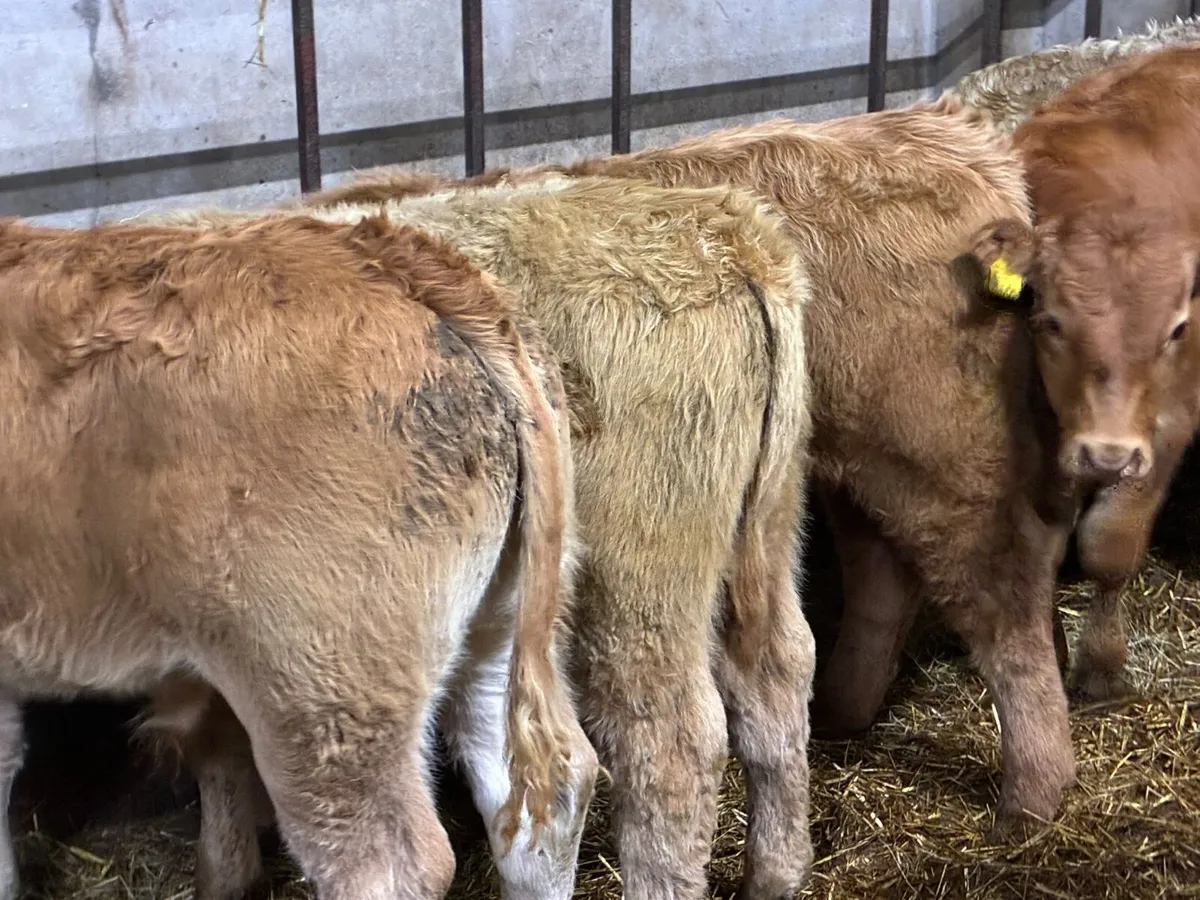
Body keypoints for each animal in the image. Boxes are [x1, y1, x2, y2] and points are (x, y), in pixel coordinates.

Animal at [163, 174, 817, 900]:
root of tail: (723, 230)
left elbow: (213, 744)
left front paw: (221, 871)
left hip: (638, 579)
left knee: (670, 742)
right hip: (769, 527)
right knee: (779, 670)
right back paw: (776, 871)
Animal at [305, 94, 1087, 831]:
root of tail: (953, 135)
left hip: (949, 458)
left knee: (1004, 592)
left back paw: (1032, 798)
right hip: (850, 469)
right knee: (879, 574)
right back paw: (842, 714)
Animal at [968, 45, 1200, 702]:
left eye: (1176, 330)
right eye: (1049, 321)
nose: (1106, 455)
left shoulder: (1170, 421)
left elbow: (1109, 542)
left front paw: (1101, 665)